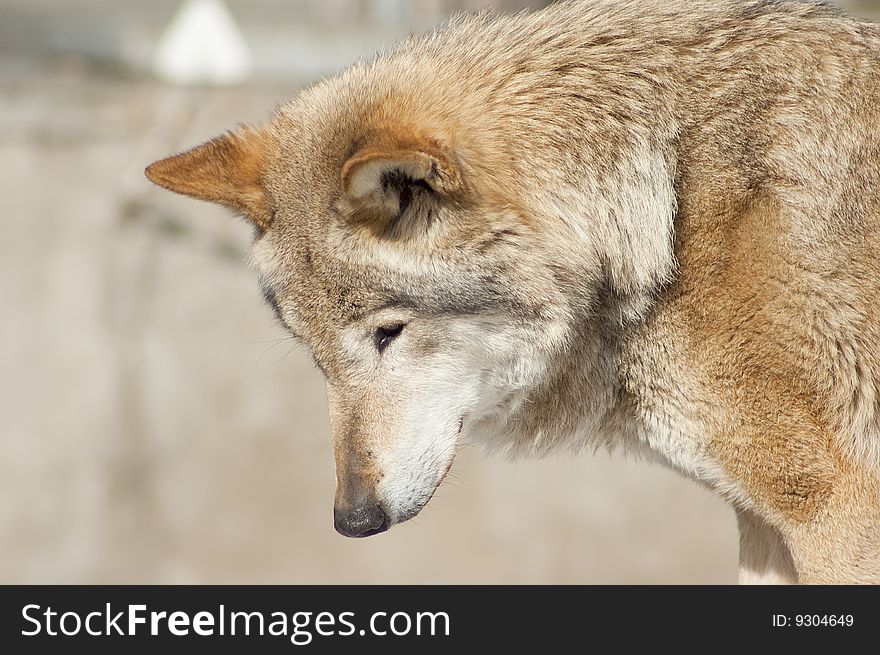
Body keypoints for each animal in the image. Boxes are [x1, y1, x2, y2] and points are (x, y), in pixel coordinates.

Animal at [144, 0, 880, 584]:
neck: (667, 209)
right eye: (315, 355)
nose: (353, 519)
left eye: (389, 333)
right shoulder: (764, 522)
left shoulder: (835, 513)